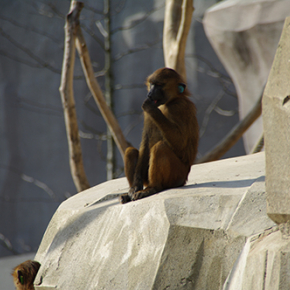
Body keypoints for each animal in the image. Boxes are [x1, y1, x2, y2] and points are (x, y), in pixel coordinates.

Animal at [120, 68, 199, 204]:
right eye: (152, 84)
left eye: (159, 85)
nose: (149, 94)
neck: (169, 102)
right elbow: (146, 142)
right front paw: (134, 187)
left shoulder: (180, 108)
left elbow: (181, 143)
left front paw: (151, 108)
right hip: (146, 177)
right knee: (130, 151)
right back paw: (133, 191)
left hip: (178, 175)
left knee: (160, 148)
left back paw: (153, 188)